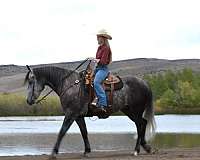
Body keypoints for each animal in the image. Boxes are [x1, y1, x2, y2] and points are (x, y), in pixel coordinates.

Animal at [24, 64, 156, 158]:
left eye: (31, 81)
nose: (28, 101)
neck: (69, 85)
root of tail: (144, 83)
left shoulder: (70, 114)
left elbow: (62, 131)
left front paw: (54, 152)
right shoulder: (78, 116)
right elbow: (84, 132)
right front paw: (87, 151)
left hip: (135, 111)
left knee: (140, 125)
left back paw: (137, 150)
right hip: (129, 111)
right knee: (142, 123)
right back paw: (146, 147)